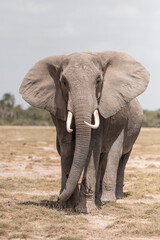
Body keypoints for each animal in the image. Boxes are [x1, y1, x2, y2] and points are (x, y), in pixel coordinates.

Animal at [19, 51, 149, 213]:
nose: (58, 198)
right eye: (64, 82)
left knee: (119, 156)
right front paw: (68, 206)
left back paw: (112, 199)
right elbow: (67, 146)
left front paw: (84, 209)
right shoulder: (58, 106)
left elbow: (93, 145)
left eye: (99, 80)